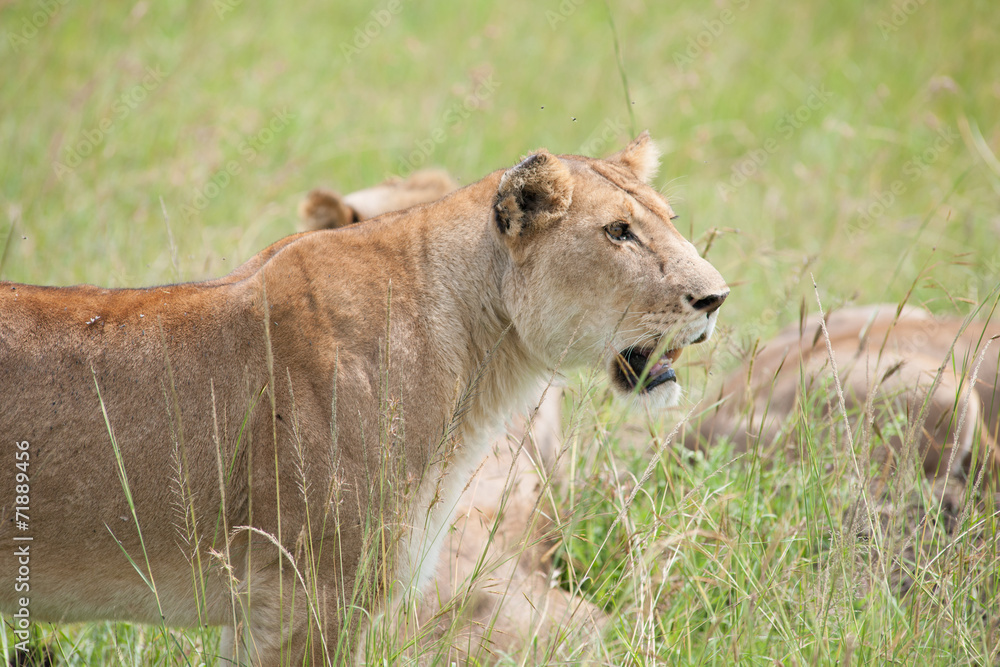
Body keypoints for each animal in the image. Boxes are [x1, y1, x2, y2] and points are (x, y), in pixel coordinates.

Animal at [0, 133, 729, 665]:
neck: (481, 355)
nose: (717, 297)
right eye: (618, 232)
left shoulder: (259, 609)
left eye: (669, 221)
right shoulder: (308, 597)